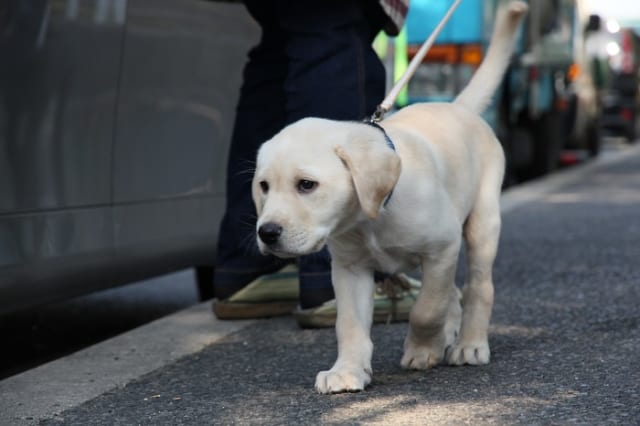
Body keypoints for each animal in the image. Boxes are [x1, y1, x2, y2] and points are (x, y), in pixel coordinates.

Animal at [252, 0, 528, 392]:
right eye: (263, 186)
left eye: (306, 185)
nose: (267, 233)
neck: (371, 217)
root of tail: (458, 106)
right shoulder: (350, 268)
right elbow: (349, 325)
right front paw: (347, 370)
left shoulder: (442, 249)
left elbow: (427, 308)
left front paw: (422, 349)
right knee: (454, 293)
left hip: (483, 222)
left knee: (477, 286)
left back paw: (469, 344)